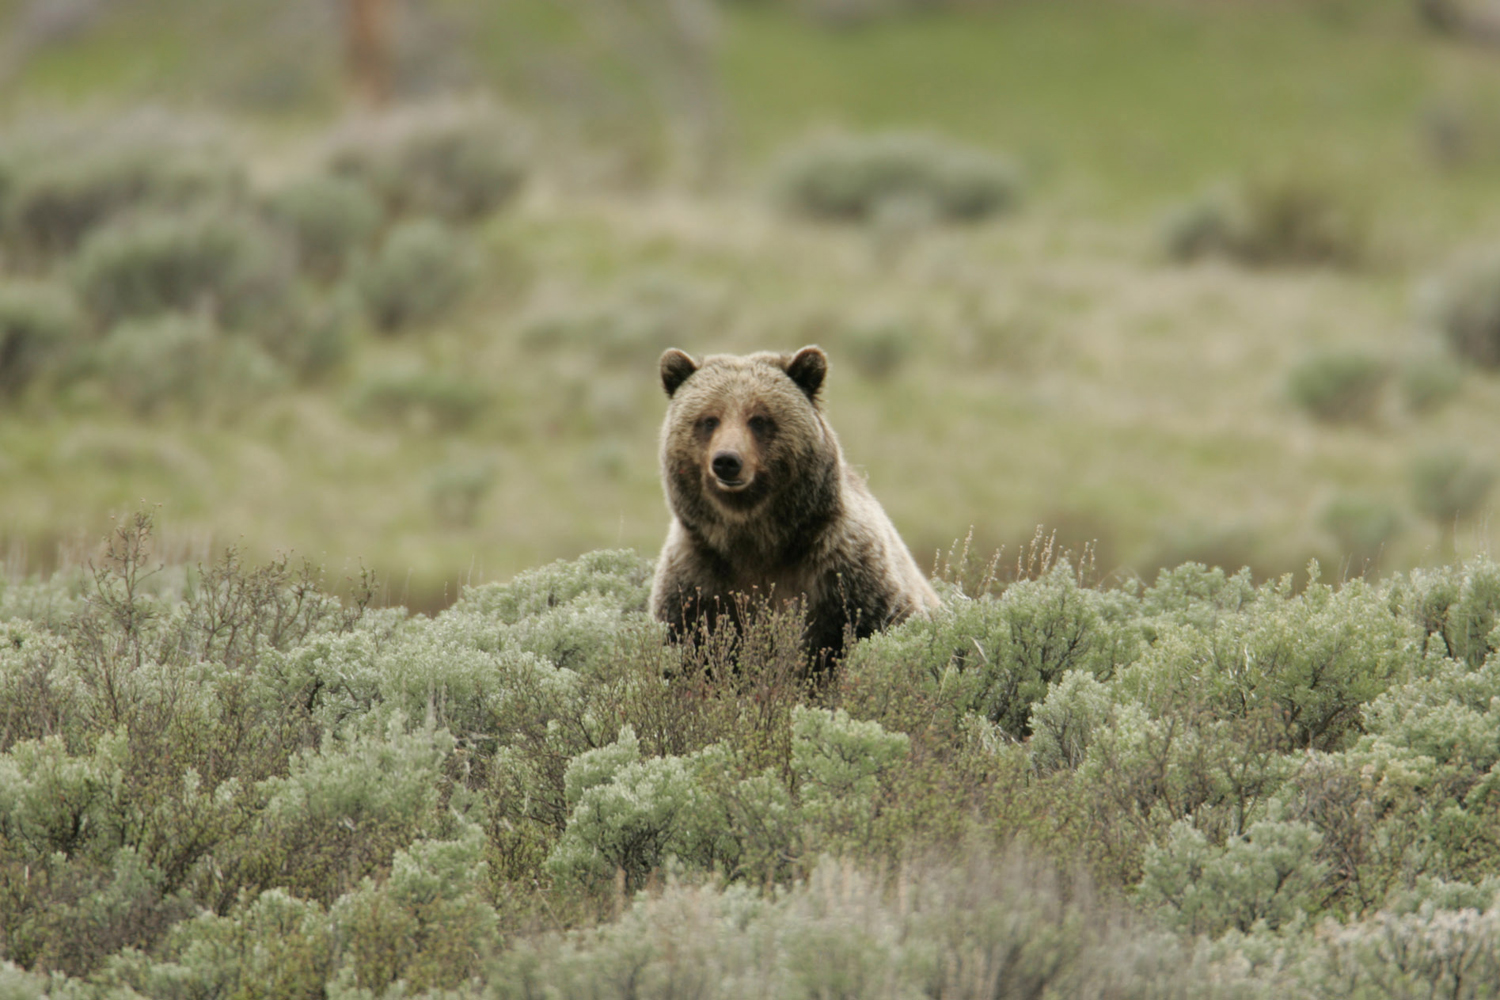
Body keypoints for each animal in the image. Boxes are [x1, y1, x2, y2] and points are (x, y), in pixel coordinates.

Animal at [649, 344, 941, 662]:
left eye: (759, 419)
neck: (756, 539)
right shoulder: (696, 580)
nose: (726, 461)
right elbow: (686, 643)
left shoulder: (847, 574)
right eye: (709, 419)